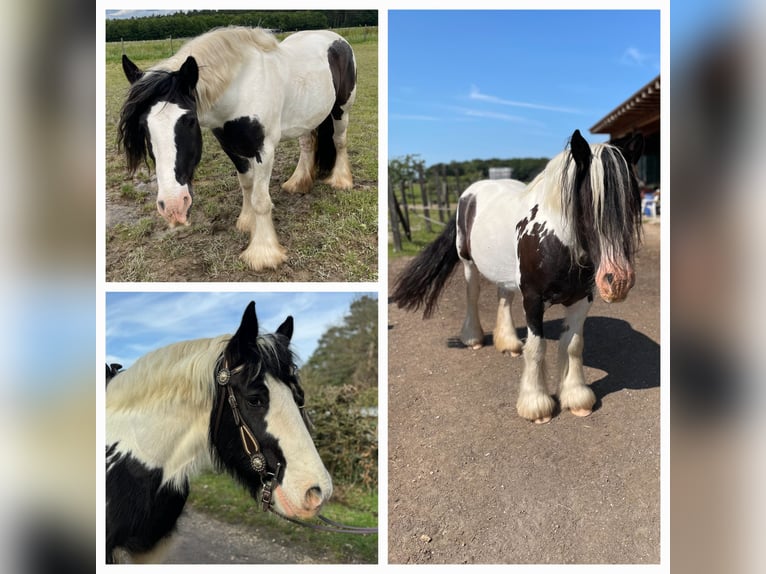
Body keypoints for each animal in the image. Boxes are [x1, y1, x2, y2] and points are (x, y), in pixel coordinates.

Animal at [117, 26, 357, 271]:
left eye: (190, 120)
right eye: (143, 126)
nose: (173, 207)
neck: (242, 88)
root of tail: (335, 38)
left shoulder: (265, 151)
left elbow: (260, 200)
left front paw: (263, 253)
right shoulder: (230, 148)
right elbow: (246, 185)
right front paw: (247, 222)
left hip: (341, 109)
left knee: (339, 142)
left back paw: (341, 181)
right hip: (308, 117)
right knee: (307, 145)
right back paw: (298, 183)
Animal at [391, 129, 644, 424]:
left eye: (631, 201)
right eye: (591, 202)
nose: (619, 280)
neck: (554, 239)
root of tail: (470, 193)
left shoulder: (582, 299)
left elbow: (573, 345)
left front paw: (577, 398)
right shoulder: (533, 300)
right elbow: (536, 348)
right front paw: (536, 405)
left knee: (504, 297)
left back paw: (509, 343)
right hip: (468, 264)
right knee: (472, 295)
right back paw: (473, 339)